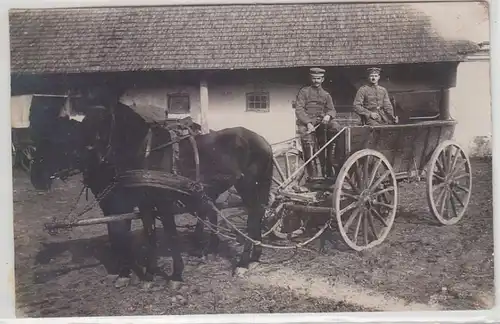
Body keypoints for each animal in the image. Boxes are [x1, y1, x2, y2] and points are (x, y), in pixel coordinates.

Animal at [29, 99, 276, 288]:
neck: (146, 155)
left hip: (248, 187)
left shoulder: (160, 204)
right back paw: (252, 256)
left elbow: (169, 236)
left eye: (99, 130)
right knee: (253, 215)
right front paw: (147, 275)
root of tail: (262, 141)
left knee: (253, 217)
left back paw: (242, 263)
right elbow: (148, 236)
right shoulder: (143, 205)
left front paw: (174, 276)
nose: (36, 179)